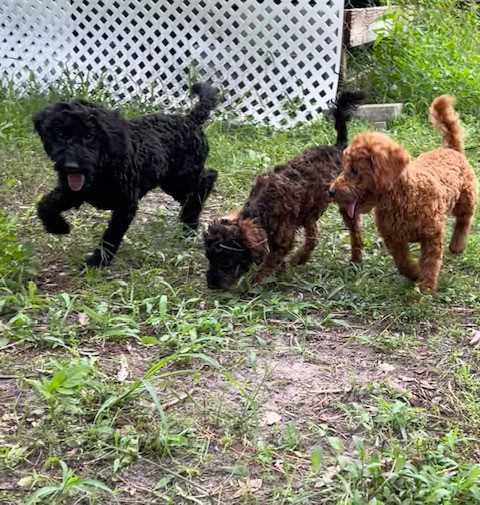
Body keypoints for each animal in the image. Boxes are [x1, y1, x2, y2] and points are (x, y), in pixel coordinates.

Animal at [34, 83, 218, 268]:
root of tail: (190, 120)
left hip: (180, 178)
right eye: (60, 135)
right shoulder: (74, 192)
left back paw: (189, 228)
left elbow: (111, 235)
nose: (71, 167)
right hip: (171, 180)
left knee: (204, 183)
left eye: (89, 135)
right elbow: (46, 204)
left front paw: (98, 260)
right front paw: (58, 227)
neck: (103, 165)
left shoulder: (126, 204)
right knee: (201, 184)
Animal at [330, 95, 476, 294]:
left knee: (464, 220)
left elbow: (430, 266)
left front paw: (424, 291)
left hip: (465, 198)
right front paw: (415, 274)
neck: (402, 199)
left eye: (354, 170)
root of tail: (451, 149)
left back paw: (457, 245)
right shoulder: (393, 239)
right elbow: (403, 263)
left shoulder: (432, 237)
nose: (331, 191)